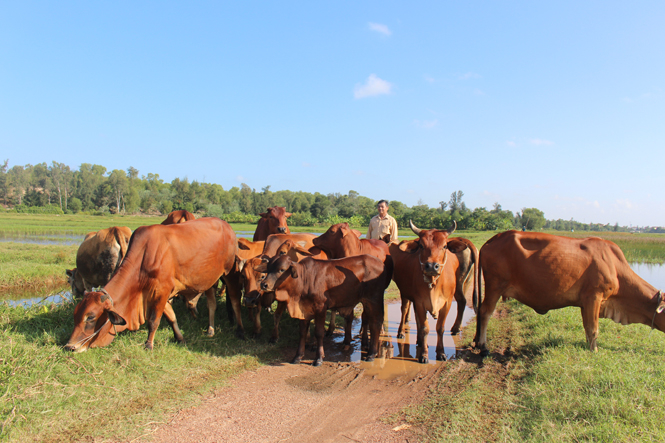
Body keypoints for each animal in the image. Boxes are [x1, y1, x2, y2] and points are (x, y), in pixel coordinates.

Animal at [63, 217, 239, 352]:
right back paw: (211, 329)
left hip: (227, 274)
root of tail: (227, 226)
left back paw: (223, 327)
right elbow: (171, 317)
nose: (70, 346)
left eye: (90, 317)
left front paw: (148, 344)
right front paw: (180, 337)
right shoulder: (162, 294)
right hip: (209, 281)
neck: (143, 257)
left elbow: (154, 321)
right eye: (75, 314)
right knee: (211, 304)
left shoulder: (162, 292)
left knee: (225, 301)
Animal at [255, 255, 390, 366]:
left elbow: (319, 333)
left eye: (282, 269)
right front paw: (297, 356)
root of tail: (381, 263)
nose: (264, 284)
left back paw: (371, 354)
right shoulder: (303, 310)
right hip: (367, 302)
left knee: (376, 323)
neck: (304, 279)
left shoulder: (320, 309)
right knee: (369, 321)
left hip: (374, 300)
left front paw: (318, 358)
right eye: (268, 269)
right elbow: (302, 333)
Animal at [390, 222, 472, 364]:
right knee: (404, 310)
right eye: (421, 246)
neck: (433, 285)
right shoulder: (419, 302)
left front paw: (441, 353)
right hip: (405, 294)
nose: (432, 266)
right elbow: (425, 328)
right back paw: (402, 332)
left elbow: (440, 328)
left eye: (444, 246)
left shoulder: (447, 303)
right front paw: (424, 355)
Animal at [472, 231, 664, 356]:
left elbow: (587, 327)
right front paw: (595, 351)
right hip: (495, 286)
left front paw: (589, 346)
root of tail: (492, 240)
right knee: (485, 312)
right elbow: (594, 329)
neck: (615, 266)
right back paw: (483, 346)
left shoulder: (586, 303)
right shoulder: (594, 296)